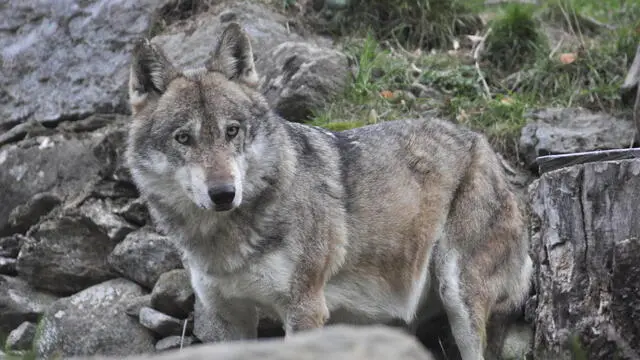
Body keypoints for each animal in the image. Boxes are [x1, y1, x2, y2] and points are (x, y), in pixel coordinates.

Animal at [126, 23, 536, 360]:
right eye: (183, 138)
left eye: (232, 131)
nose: (224, 193)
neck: (226, 242)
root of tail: (483, 144)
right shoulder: (228, 317)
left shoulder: (305, 310)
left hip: (458, 296)